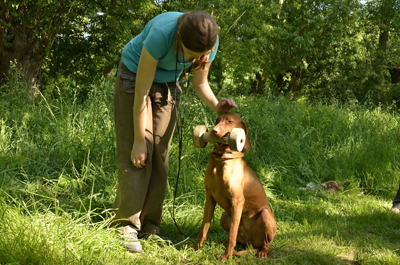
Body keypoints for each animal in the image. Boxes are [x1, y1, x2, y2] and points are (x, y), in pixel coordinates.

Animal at [193, 112, 276, 258]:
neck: (221, 160)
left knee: (264, 244)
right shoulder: (210, 198)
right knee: (237, 239)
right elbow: (204, 228)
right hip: (225, 215)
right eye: (217, 120)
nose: (214, 131)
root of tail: (251, 244)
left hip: (266, 215)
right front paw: (197, 247)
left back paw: (262, 252)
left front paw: (227, 256)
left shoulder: (237, 201)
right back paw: (223, 242)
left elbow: (232, 233)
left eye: (229, 121)